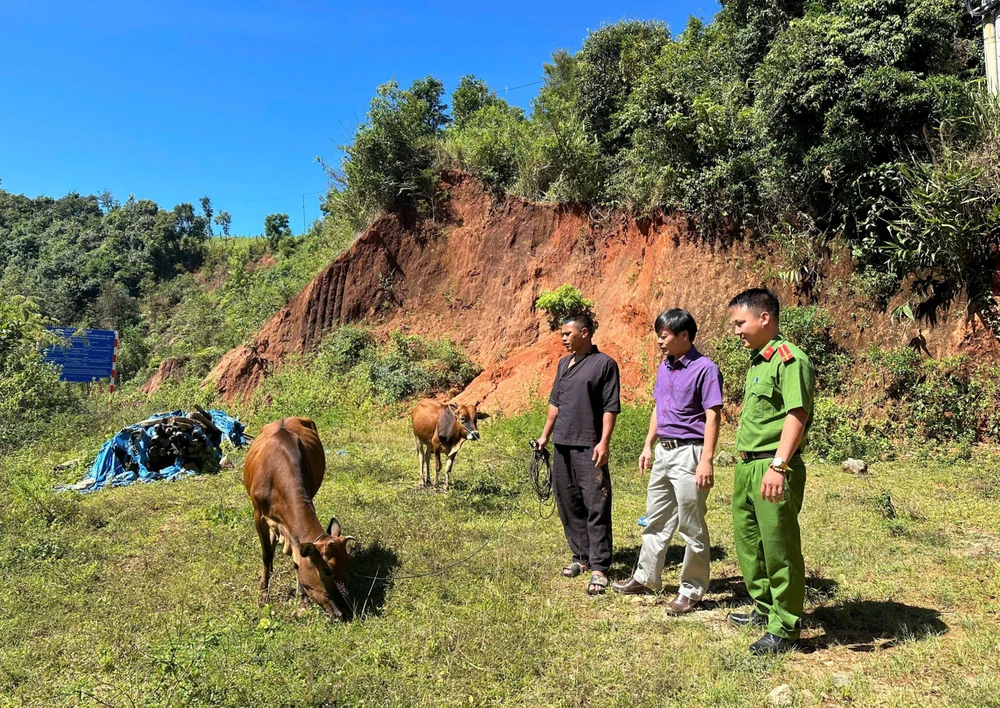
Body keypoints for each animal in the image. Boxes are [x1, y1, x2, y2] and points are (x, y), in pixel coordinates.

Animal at [243, 418, 356, 624]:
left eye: (347, 569)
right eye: (327, 570)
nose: (343, 612)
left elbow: (297, 560)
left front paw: (303, 601)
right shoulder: (258, 515)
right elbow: (266, 554)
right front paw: (263, 595)